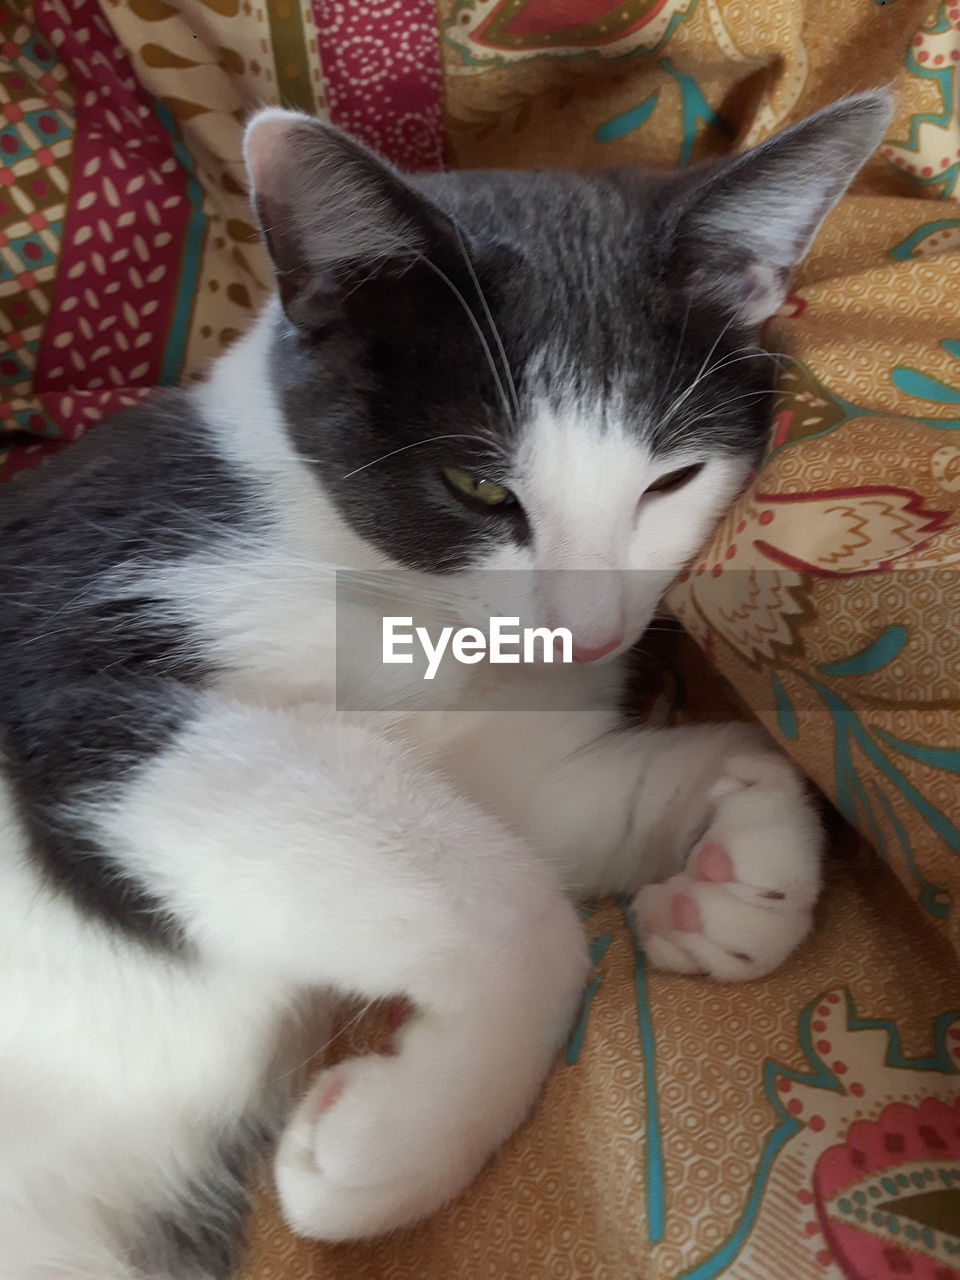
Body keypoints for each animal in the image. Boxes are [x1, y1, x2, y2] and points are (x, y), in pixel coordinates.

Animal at [0, 92, 896, 1280]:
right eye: (476, 485)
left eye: (670, 481)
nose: (586, 630)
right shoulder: (74, 652)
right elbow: (508, 904)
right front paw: (396, 1145)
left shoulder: (516, 759)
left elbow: (541, 817)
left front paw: (741, 866)